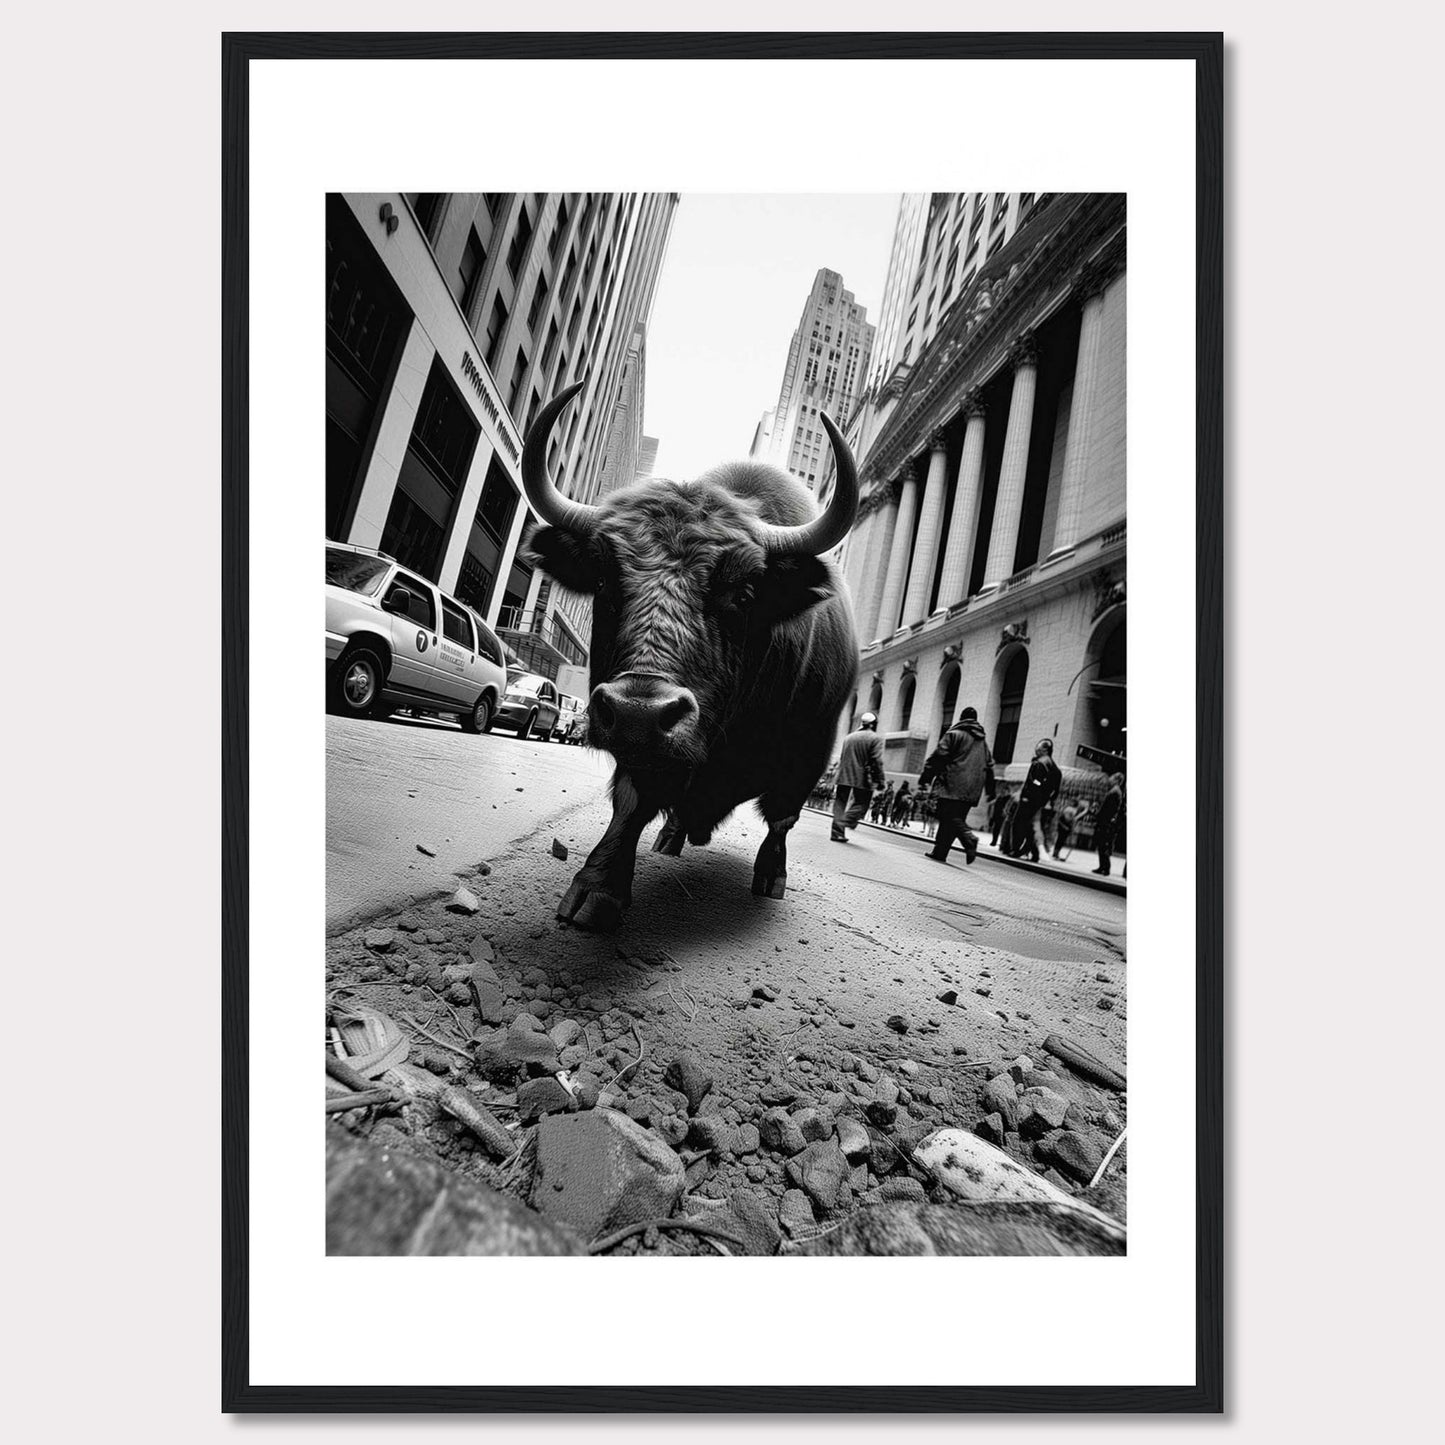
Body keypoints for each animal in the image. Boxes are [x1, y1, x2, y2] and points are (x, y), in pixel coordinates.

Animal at [520, 378, 855, 930]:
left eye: (742, 593)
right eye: (604, 582)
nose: (637, 711)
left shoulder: (811, 748)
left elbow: (783, 819)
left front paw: (772, 877)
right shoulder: (645, 754)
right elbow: (631, 803)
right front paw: (597, 889)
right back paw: (671, 836)